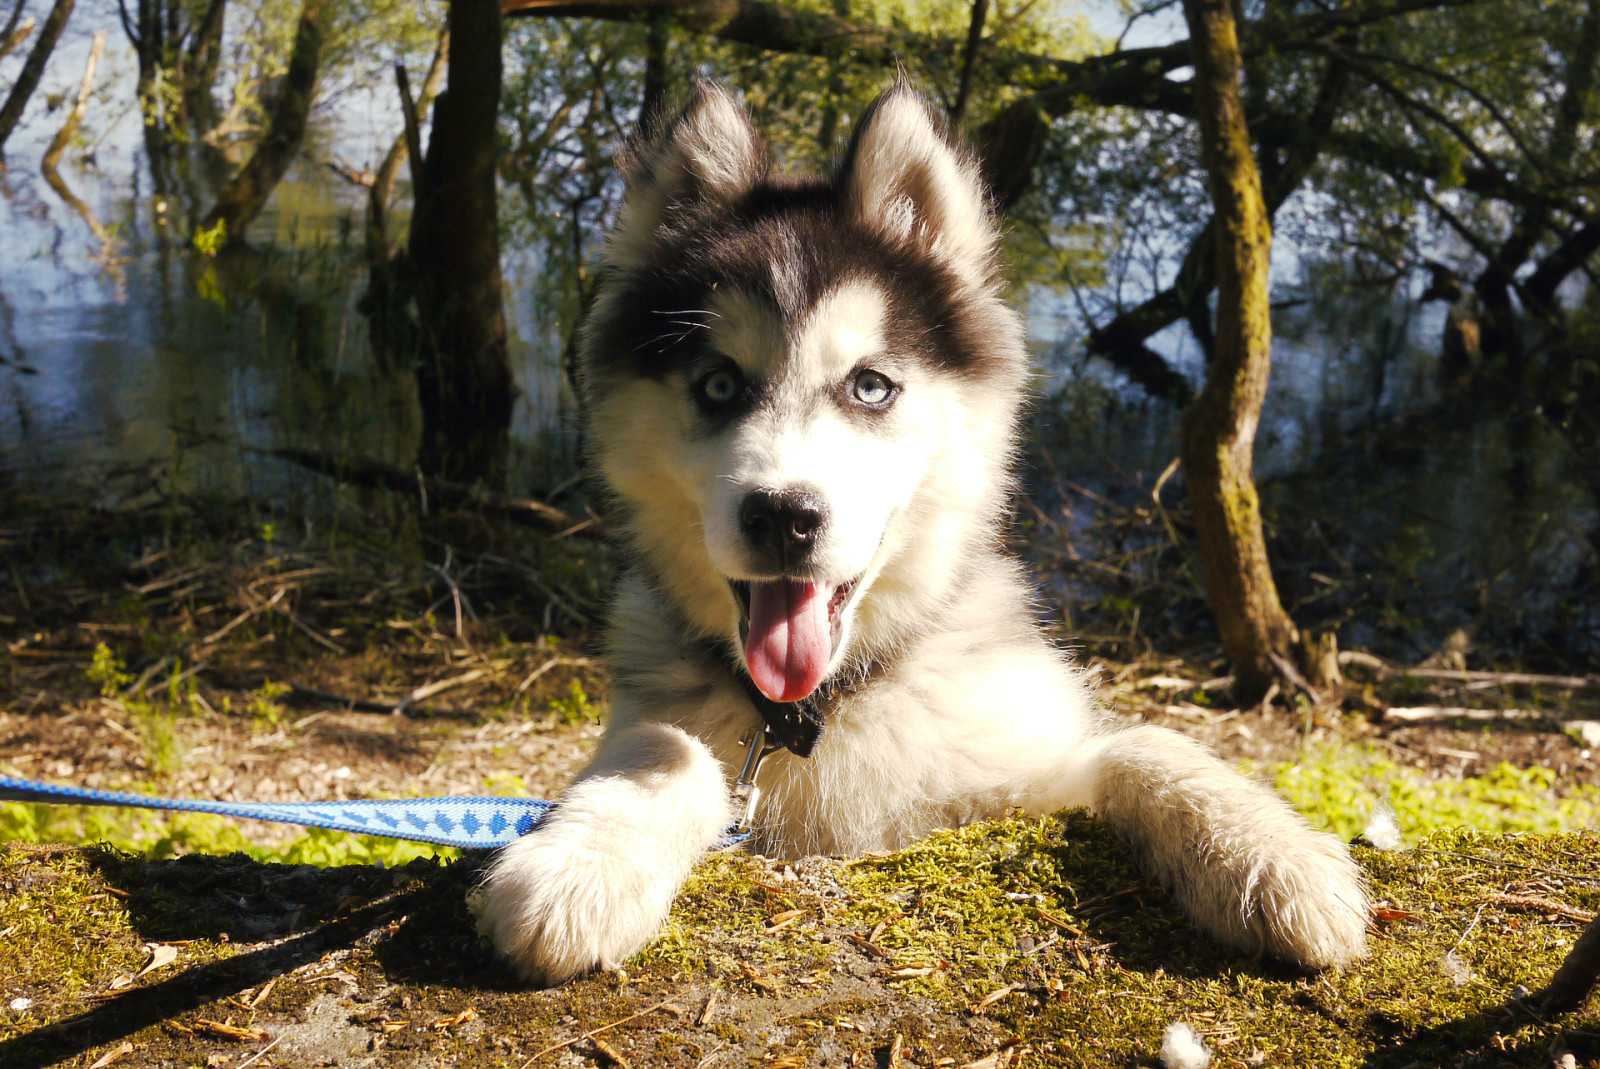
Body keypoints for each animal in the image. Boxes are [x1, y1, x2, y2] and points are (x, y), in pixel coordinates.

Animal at [467, 83, 1369, 985]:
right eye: (718, 385)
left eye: (871, 386)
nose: (783, 515)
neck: (819, 707)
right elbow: (667, 743)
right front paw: (579, 866)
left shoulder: (1020, 769)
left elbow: (1143, 743)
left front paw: (1273, 853)